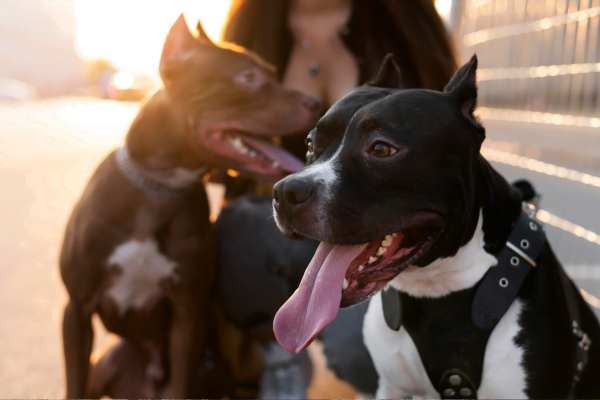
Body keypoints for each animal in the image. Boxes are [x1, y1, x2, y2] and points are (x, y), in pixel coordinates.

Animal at [59, 14, 324, 398]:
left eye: (273, 73)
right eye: (248, 77)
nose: (317, 102)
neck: (159, 188)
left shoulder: (187, 312)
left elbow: (179, 383)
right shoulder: (76, 311)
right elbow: (74, 382)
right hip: (105, 363)